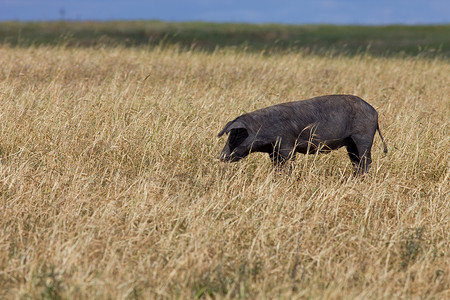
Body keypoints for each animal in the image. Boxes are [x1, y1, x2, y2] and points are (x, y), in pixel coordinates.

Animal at [218, 94, 386, 173]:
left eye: (236, 135)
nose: (220, 156)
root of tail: (375, 112)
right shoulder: (273, 151)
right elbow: (276, 166)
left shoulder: (287, 144)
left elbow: (288, 163)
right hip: (350, 143)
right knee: (356, 161)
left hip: (363, 137)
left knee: (366, 160)